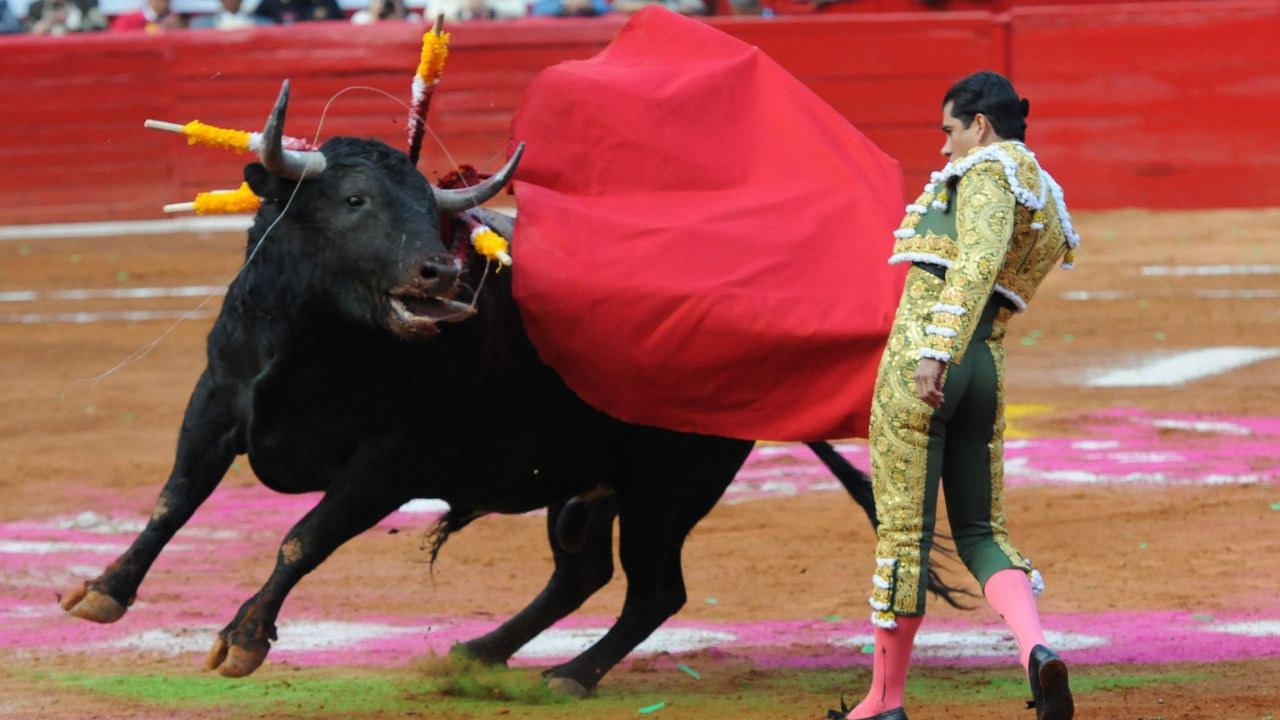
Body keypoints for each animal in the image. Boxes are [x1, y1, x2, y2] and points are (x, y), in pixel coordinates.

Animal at [62, 92, 962, 691]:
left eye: (428, 209)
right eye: (353, 200)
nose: (441, 273)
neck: (318, 339)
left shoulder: (390, 462)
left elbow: (301, 538)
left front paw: (244, 638)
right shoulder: (216, 406)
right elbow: (174, 500)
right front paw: (102, 592)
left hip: (671, 482)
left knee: (654, 587)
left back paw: (571, 674)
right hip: (587, 486)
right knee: (584, 573)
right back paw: (483, 651)